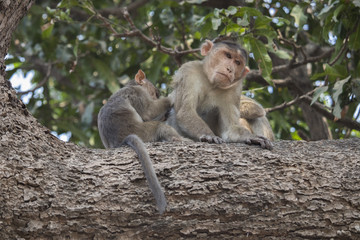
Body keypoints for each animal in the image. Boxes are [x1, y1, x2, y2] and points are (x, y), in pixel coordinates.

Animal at [97, 69, 183, 214]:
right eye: (155, 93)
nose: (155, 97)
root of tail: (118, 143)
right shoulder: (137, 93)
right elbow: (149, 112)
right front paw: (172, 96)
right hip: (142, 132)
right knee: (159, 127)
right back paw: (178, 139)